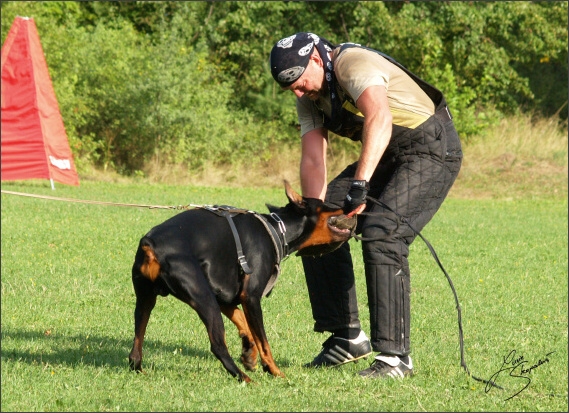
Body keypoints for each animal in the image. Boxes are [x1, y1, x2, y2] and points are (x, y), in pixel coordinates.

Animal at [129, 182, 356, 382]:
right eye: (327, 204)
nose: (350, 205)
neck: (278, 229)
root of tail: (150, 245)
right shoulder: (251, 296)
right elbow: (264, 341)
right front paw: (275, 371)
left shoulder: (225, 294)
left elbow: (244, 323)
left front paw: (249, 354)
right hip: (203, 298)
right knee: (218, 346)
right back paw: (244, 378)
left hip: (146, 299)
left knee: (135, 347)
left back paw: (139, 369)